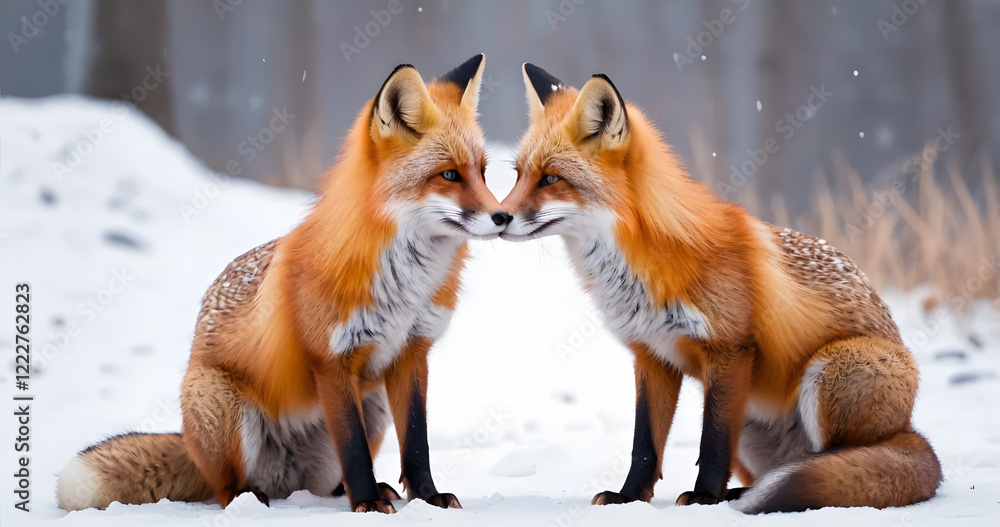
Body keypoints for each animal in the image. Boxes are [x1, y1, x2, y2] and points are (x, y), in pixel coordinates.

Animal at [56, 54, 510, 514]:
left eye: (482, 173)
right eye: (449, 175)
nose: (503, 216)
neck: (403, 283)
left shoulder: (411, 352)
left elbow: (416, 444)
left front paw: (427, 498)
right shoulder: (331, 361)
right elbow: (354, 449)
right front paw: (365, 504)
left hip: (374, 404)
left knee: (327, 481)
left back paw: (351, 491)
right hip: (225, 408)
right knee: (226, 488)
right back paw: (252, 498)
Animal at [500, 63, 942, 513]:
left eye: (551, 179)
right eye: (519, 175)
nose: (499, 216)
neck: (648, 260)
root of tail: (910, 431)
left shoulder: (729, 351)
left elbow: (711, 442)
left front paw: (703, 497)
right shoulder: (651, 355)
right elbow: (645, 445)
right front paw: (629, 498)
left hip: (831, 369)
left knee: (836, 464)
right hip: (750, 426)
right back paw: (744, 492)